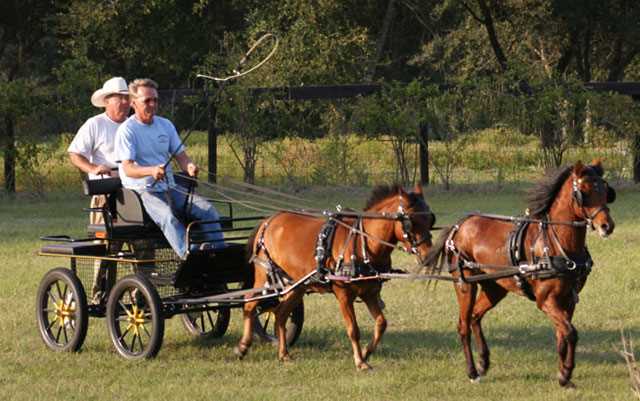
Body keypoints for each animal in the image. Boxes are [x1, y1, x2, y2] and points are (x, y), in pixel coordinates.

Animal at [235, 184, 436, 368]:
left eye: (430, 219)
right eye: (411, 222)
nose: (429, 256)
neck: (363, 242)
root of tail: (269, 220)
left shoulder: (370, 293)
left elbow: (381, 323)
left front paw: (366, 353)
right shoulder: (343, 295)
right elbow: (353, 329)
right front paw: (360, 361)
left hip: (297, 285)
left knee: (280, 314)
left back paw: (284, 354)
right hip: (264, 275)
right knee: (250, 303)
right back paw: (243, 347)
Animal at [424, 160, 616, 388]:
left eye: (605, 190)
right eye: (584, 191)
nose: (607, 226)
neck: (555, 243)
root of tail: (459, 225)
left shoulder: (569, 300)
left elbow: (562, 335)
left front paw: (562, 374)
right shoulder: (546, 301)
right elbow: (571, 333)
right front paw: (567, 372)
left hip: (494, 288)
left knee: (475, 317)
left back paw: (483, 362)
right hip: (465, 284)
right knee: (463, 325)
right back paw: (472, 372)